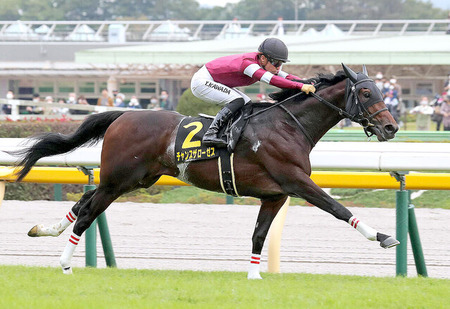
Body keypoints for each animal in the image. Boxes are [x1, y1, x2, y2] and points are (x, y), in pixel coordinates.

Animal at [10, 63, 400, 278]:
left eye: (381, 90)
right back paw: (64, 262)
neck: (289, 125)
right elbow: (337, 208)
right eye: (366, 93)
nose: (391, 127)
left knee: (84, 201)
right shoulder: (296, 181)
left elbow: (259, 235)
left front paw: (253, 276)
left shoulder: (275, 194)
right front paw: (382, 236)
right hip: (119, 179)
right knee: (89, 211)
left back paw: (44, 229)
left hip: (134, 180)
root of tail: (123, 115)